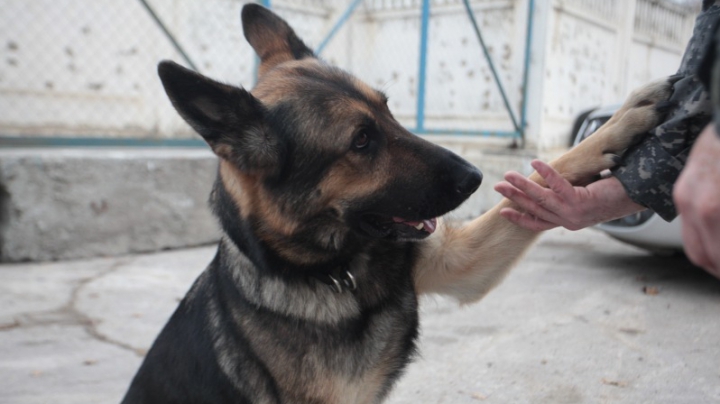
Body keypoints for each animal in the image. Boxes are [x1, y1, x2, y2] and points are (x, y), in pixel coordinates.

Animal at [122, 4, 676, 402]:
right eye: (362, 141)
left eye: (387, 110)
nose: (476, 177)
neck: (336, 274)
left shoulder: (459, 262)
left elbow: (550, 170)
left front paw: (619, 123)